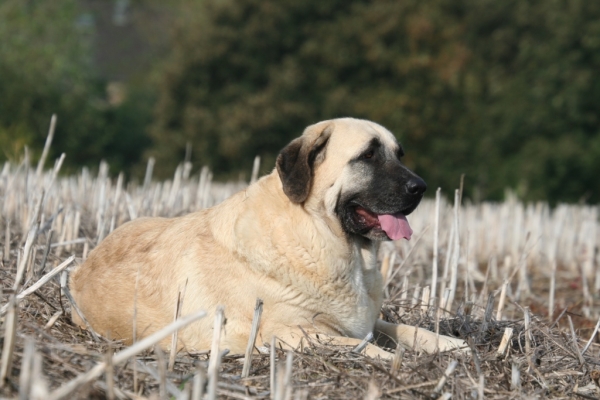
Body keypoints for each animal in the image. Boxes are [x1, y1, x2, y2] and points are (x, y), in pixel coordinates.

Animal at [70, 117, 468, 358]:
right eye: (368, 155)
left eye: (398, 154)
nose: (420, 187)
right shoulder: (289, 333)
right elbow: (363, 348)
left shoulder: (366, 322)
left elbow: (409, 330)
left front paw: (454, 345)